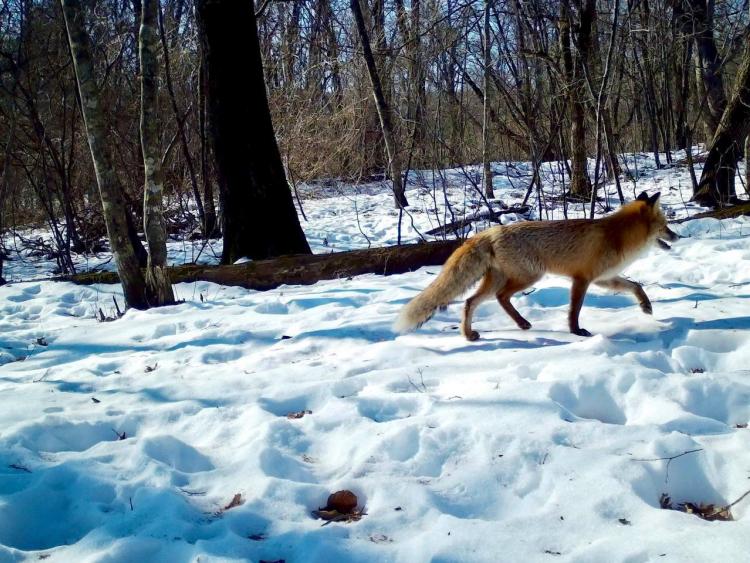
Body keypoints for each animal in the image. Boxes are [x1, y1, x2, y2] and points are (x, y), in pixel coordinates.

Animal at [396, 192, 680, 340]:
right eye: (665, 226)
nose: (678, 236)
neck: (617, 236)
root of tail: (491, 231)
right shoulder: (582, 279)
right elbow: (574, 310)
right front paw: (576, 332)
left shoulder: (604, 278)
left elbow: (636, 285)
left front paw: (646, 306)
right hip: (529, 277)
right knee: (498, 297)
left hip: (503, 280)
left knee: (472, 301)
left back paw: (480, 332)